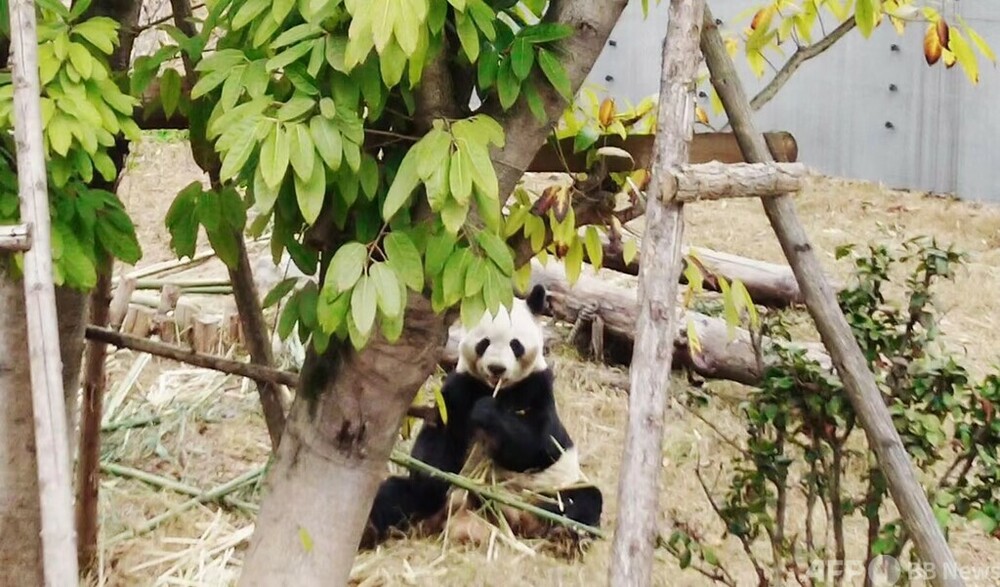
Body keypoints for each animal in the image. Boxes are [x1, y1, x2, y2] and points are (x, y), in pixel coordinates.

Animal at [364, 284, 604, 552]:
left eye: (515, 345)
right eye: (484, 343)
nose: (496, 368)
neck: (493, 389)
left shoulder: (537, 388)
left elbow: (540, 445)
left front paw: (488, 413)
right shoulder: (459, 389)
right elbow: (437, 441)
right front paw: (433, 474)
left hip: (547, 488)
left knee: (582, 500)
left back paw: (564, 536)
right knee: (398, 495)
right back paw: (369, 531)